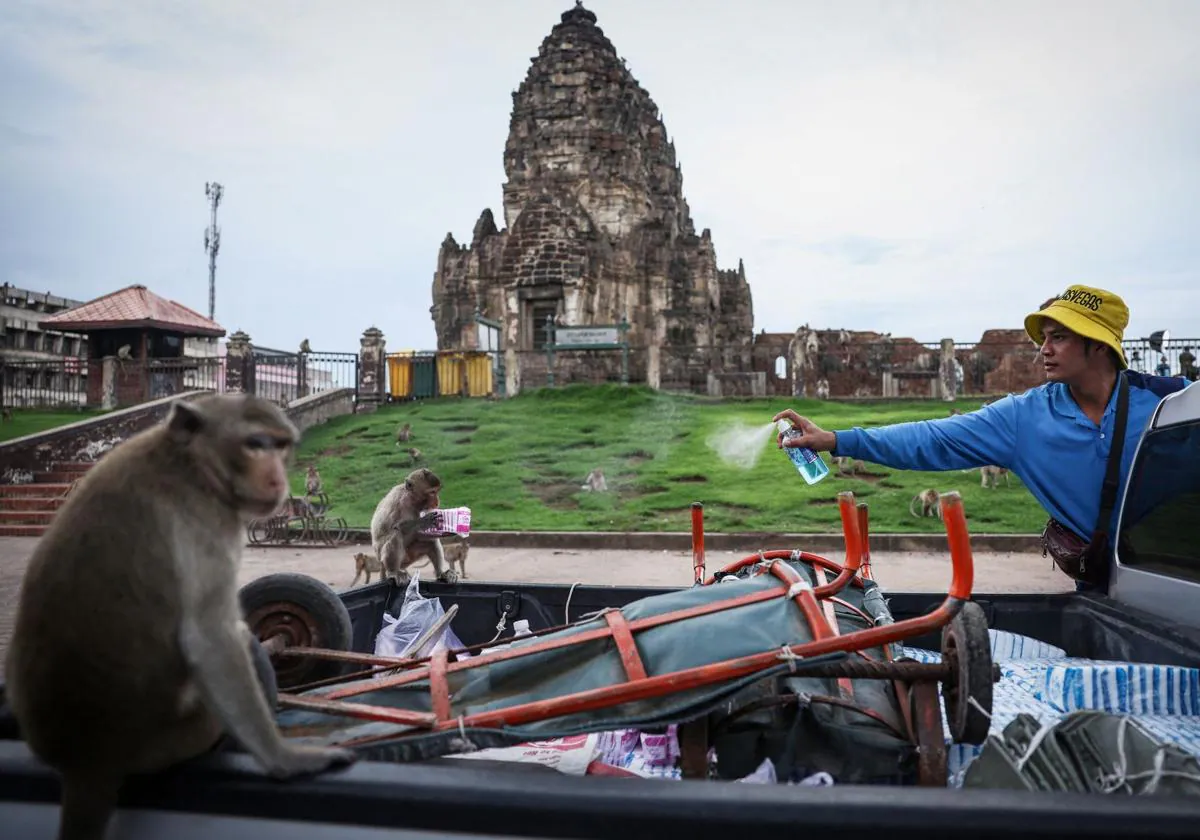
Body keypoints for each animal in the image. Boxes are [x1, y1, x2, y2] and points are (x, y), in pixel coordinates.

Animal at [2, 393, 355, 840]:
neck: (186, 461)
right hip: (176, 737)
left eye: (280, 446)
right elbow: (211, 638)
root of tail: (86, 764)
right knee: (241, 644)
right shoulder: (207, 524)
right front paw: (284, 760)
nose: (279, 480)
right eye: (255, 444)